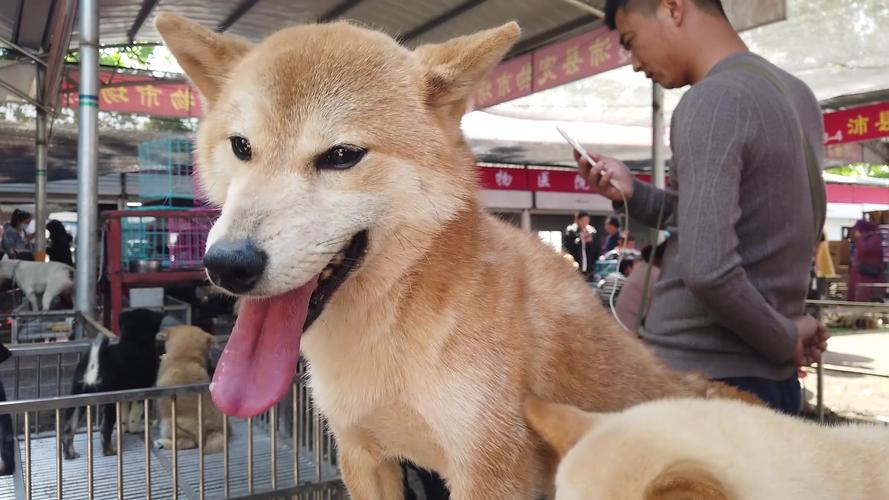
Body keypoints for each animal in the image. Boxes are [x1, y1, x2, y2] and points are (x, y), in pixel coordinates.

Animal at [61, 310, 162, 458]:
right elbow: (135, 415)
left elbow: (124, 417)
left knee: (68, 429)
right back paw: (110, 451)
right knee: (104, 430)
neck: (134, 341)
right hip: (109, 404)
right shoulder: (142, 391)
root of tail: (93, 367)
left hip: (77, 399)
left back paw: (70, 454)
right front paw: (135, 429)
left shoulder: (124, 395)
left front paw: (125, 428)